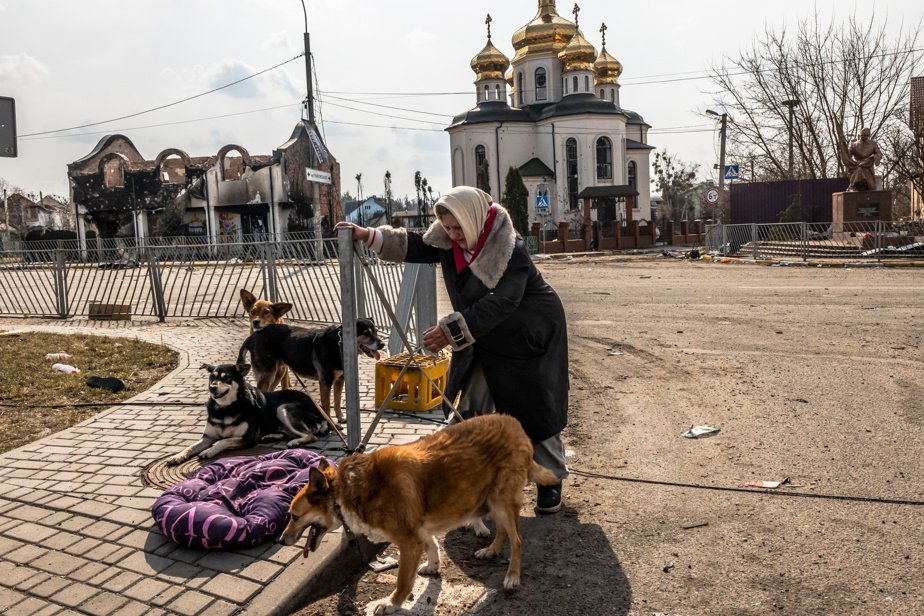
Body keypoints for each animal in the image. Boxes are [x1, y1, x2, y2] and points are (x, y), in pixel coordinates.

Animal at [168, 360, 330, 466]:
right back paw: (270, 436)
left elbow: (223, 441)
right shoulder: (207, 437)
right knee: (287, 432)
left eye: (227, 378)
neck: (226, 408)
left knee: (310, 435)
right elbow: (191, 447)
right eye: (212, 377)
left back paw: (295, 441)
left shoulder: (248, 438)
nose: (212, 388)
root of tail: (321, 412)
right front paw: (177, 456)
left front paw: (210, 451)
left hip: (283, 408)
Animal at [238, 318, 386, 424]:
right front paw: (332, 424)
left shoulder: (340, 380)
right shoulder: (325, 382)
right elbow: (327, 406)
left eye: (376, 331)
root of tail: (253, 336)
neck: (340, 344)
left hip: (278, 372)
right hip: (268, 374)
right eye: (366, 334)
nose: (382, 344)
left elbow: (337, 402)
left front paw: (340, 418)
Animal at [278, 414, 560, 616]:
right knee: (502, 530)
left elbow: (404, 579)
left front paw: (392, 603)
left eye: (293, 516)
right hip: (492, 500)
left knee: (517, 540)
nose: (281, 540)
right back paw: (491, 551)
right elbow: (432, 544)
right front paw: (434, 566)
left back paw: (512, 576)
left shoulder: (408, 541)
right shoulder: (418, 530)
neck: (346, 489)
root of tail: (516, 424)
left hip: (501, 500)